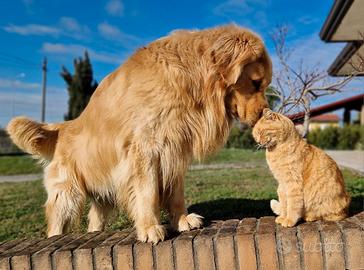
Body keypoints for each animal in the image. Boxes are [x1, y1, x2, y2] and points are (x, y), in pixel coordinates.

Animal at [7, 25, 272, 244]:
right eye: (256, 83)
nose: (264, 113)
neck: (189, 79)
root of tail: (64, 128)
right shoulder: (145, 149)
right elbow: (148, 192)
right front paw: (150, 227)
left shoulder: (175, 149)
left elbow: (176, 193)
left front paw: (182, 220)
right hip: (67, 194)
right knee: (56, 225)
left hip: (102, 196)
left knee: (94, 220)